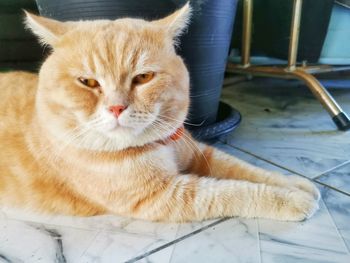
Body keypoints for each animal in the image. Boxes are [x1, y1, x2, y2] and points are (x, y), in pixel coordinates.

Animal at [0, 4, 320, 223]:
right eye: (88, 82)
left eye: (143, 78)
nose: (116, 107)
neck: (158, 145)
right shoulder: (166, 196)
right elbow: (232, 191)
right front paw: (291, 200)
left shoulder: (200, 153)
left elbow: (245, 169)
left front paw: (296, 183)